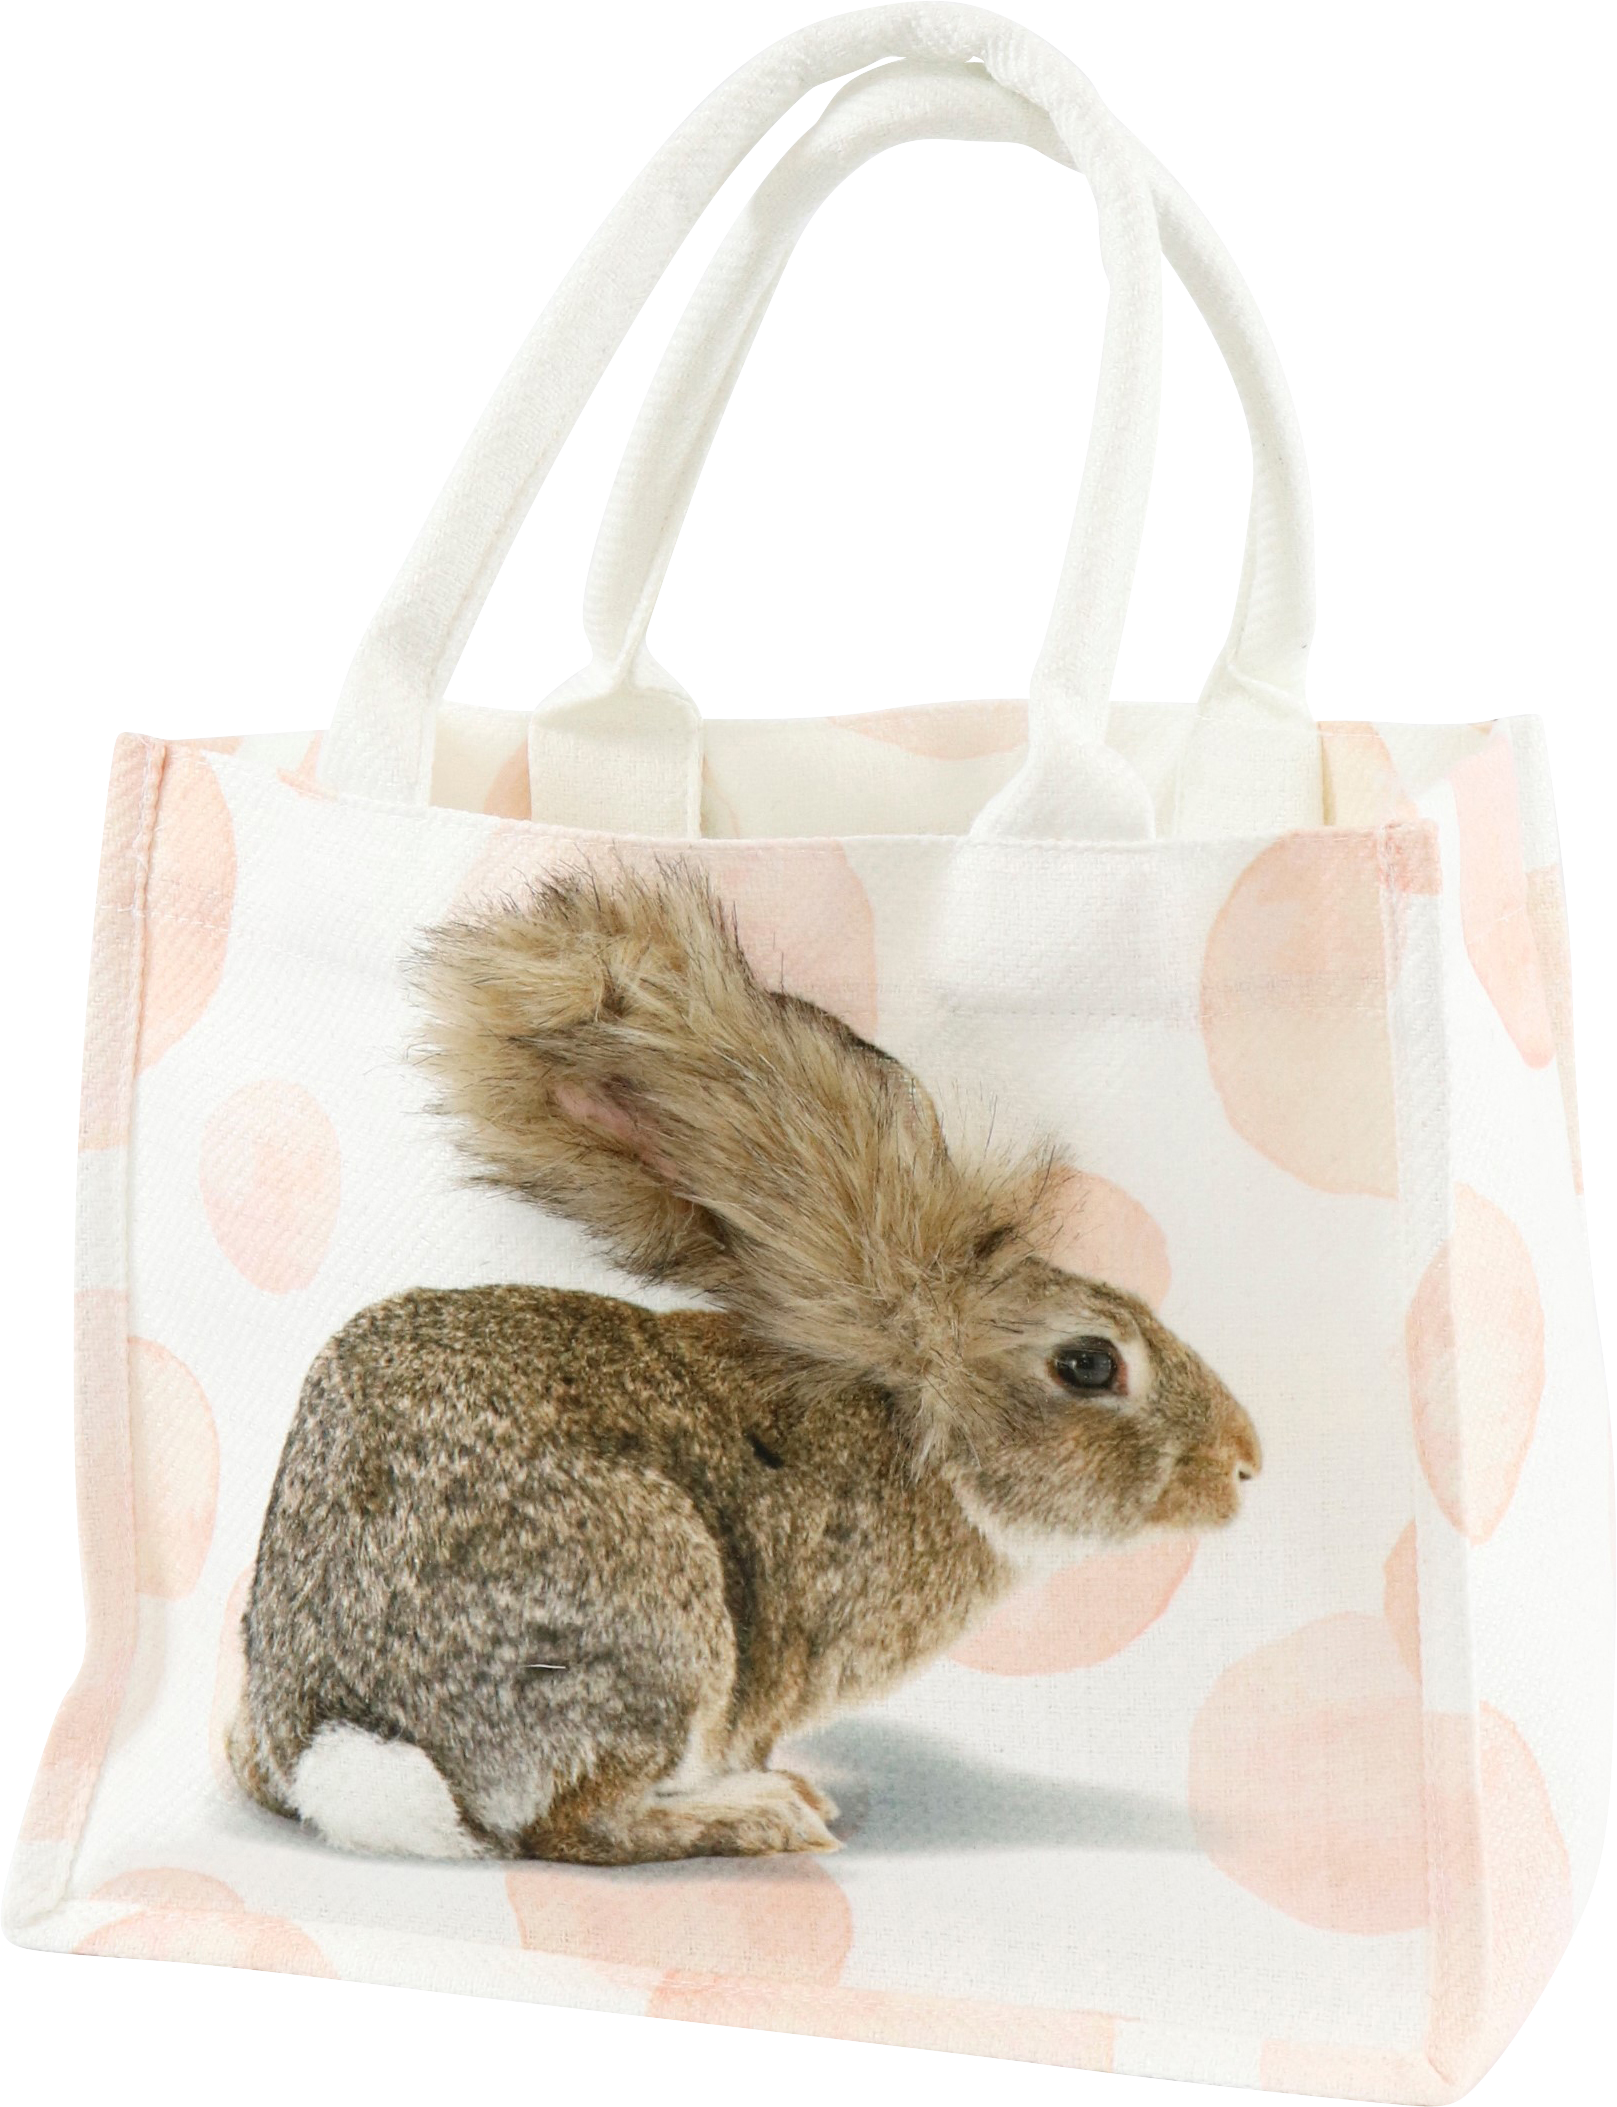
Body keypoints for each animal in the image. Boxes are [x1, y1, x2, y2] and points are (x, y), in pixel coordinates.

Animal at [229, 865, 1261, 1864]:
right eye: (1088, 1363)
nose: (1243, 1462)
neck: (920, 1439)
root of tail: (343, 1730)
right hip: (656, 1614)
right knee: (572, 1826)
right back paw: (766, 1815)